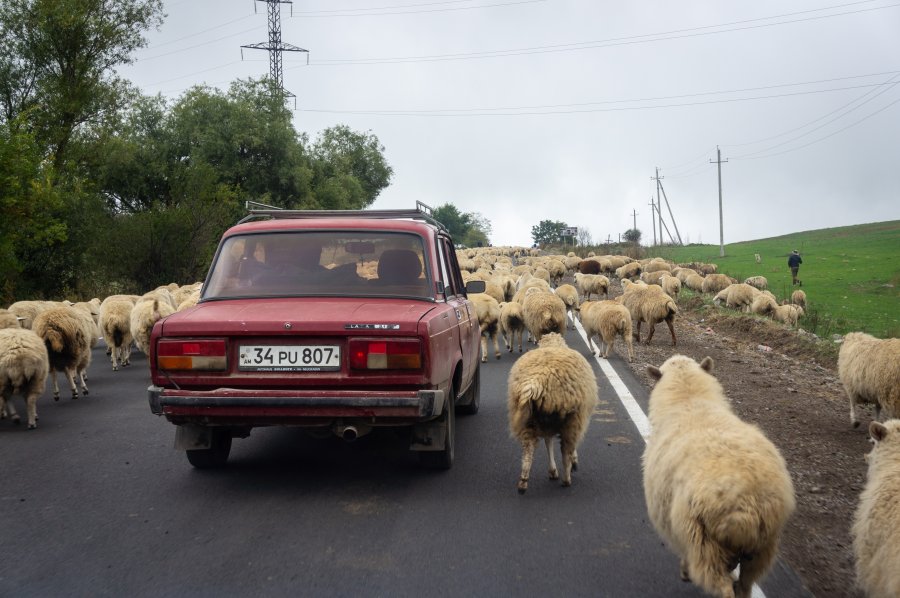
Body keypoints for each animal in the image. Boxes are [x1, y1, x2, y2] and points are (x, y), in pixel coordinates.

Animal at [506, 336, 596, 494]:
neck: (552, 344)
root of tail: (535, 383)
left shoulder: (547, 423)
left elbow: (548, 443)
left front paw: (552, 471)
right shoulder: (575, 419)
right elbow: (565, 447)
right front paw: (574, 462)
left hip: (529, 420)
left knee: (528, 448)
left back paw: (523, 481)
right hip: (572, 419)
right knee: (566, 449)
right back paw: (566, 479)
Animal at [644, 356, 800, 598]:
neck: (690, 401)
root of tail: (749, 506)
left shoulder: (677, 529)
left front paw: (684, 571)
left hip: (703, 545)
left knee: (722, 587)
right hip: (762, 550)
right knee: (744, 586)